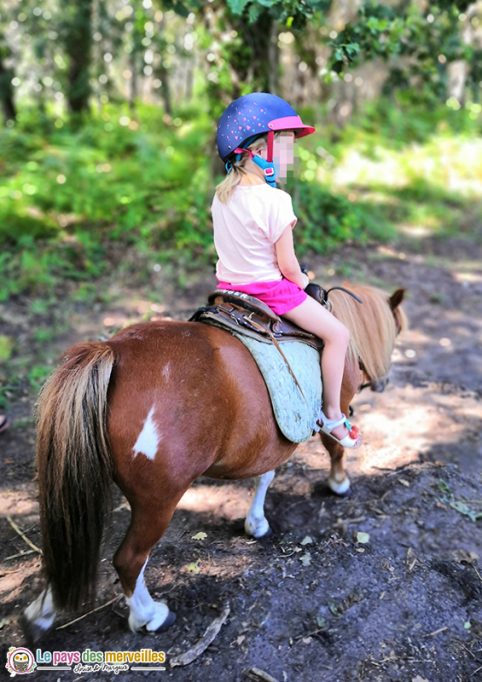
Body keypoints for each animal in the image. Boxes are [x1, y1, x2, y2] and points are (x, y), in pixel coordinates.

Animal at [24, 282, 404, 636]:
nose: (384, 382)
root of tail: (112, 351)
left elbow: (266, 474)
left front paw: (256, 522)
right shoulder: (332, 408)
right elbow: (333, 448)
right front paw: (339, 483)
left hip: (75, 490)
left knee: (66, 550)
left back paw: (40, 614)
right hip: (157, 502)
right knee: (129, 560)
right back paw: (149, 616)